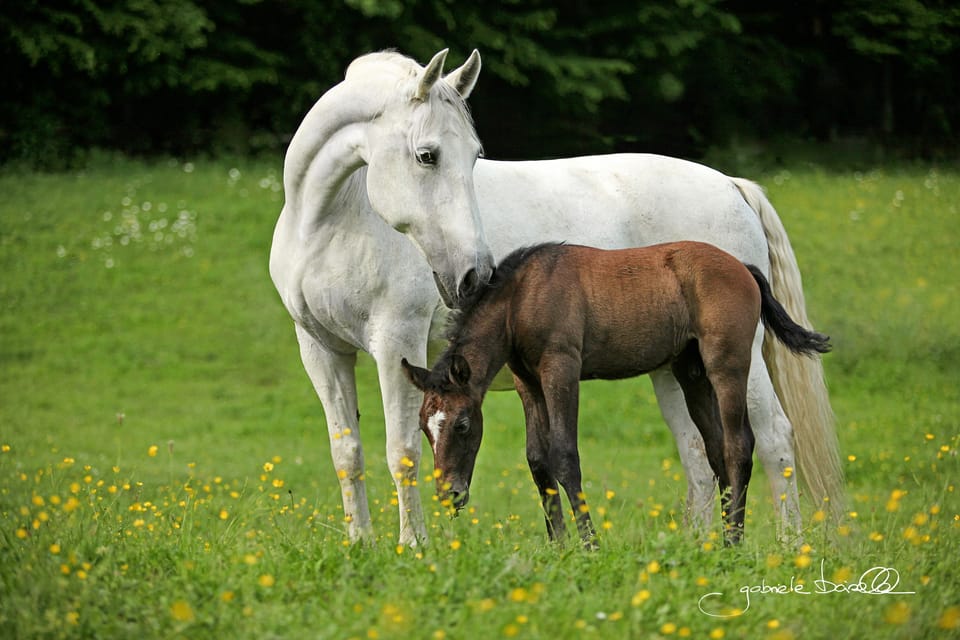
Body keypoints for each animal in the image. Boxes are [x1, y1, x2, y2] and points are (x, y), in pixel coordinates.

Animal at [270, 48, 840, 544]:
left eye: (474, 156)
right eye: (427, 156)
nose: (474, 274)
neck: (333, 219)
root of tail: (731, 185)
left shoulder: (396, 344)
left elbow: (400, 451)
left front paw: (414, 548)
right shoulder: (320, 350)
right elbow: (348, 454)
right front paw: (360, 546)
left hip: (738, 361)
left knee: (773, 440)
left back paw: (787, 546)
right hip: (675, 368)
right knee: (700, 454)